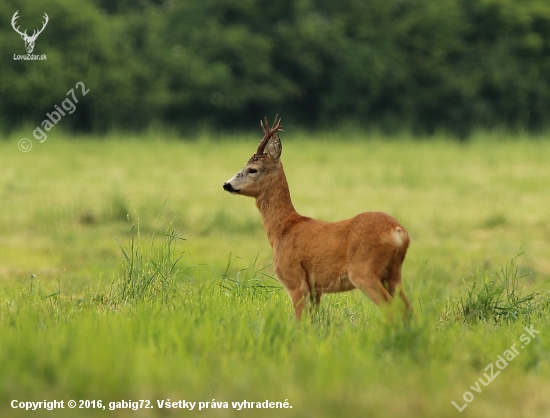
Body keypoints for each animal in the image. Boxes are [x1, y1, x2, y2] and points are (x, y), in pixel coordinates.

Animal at [222, 116, 412, 318]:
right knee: (409, 310)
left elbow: (299, 320)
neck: (283, 230)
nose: (226, 184)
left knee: (392, 309)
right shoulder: (316, 289)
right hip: (393, 274)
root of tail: (399, 232)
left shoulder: (295, 280)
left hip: (364, 271)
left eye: (252, 169)